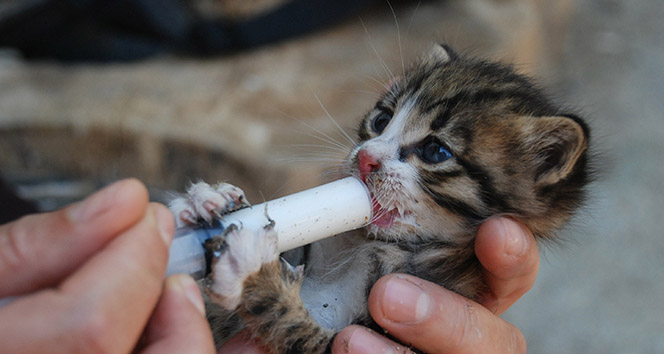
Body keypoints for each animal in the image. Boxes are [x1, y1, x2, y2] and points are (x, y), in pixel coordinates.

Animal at [170, 43, 592, 352]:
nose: (365, 158)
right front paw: (210, 201)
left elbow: (294, 325)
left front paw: (250, 267)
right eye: (381, 121)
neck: (369, 245)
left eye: (435, 151)